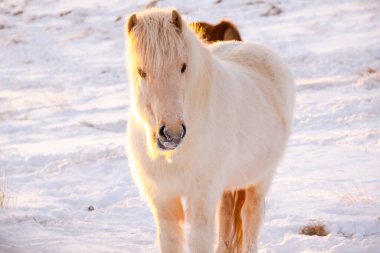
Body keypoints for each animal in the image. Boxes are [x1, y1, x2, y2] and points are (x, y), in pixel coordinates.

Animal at [126, 7, 296, 253]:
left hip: (261, 178)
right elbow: (170, 241)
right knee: (226, 217)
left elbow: (201, 239)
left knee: (250, 217)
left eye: (183, 66)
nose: (172, 134)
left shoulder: (202, 196)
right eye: (141, 71)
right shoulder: (164, 199)